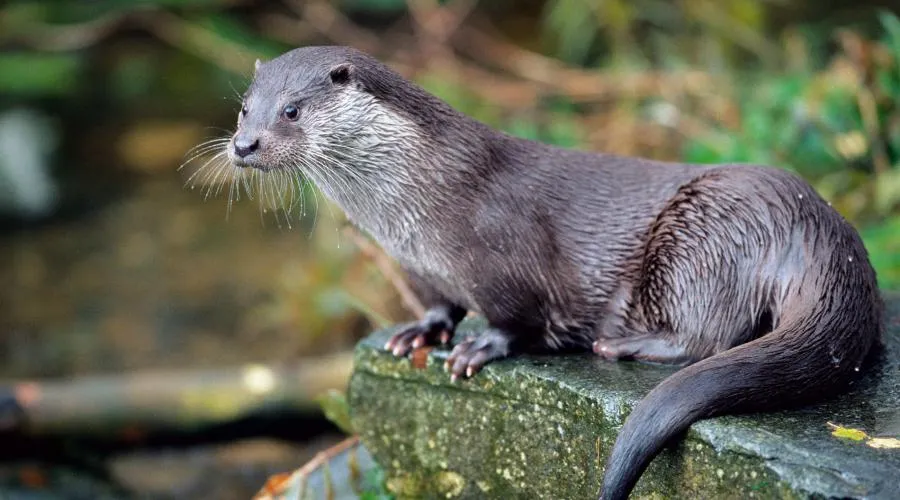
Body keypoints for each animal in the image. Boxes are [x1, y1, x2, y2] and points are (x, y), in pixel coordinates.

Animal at [200, 46, 883, 500]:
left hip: (704, 234)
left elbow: (517, 318)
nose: (244, 145)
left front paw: (479, 348)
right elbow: (438, 304)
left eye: (291, 110)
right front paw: (421, 331)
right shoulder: (417, 267)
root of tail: (821, 229)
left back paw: (623, 345)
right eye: (242, 109)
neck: (414, 208)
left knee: (711, 335)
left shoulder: (501, 255)